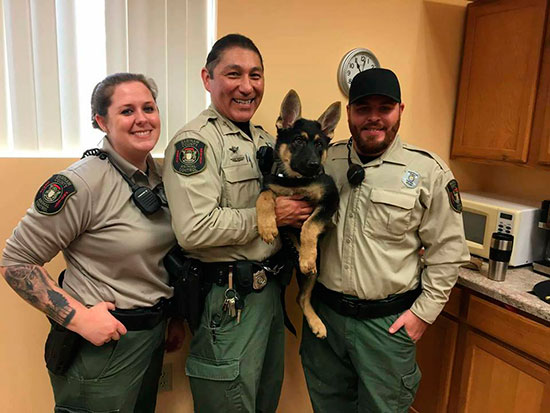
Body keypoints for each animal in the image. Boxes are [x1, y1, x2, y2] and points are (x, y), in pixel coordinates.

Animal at [258, 90, 340, 338]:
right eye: (298, 141)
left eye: (320, 144)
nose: (314, 164)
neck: (297, 181)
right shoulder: (271, 185)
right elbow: (264, 198)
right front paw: (266, 227)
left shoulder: (329, 201)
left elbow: (309, 225)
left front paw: (306, 255)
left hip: (315, 272)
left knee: (301, 297)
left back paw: (316, 323)